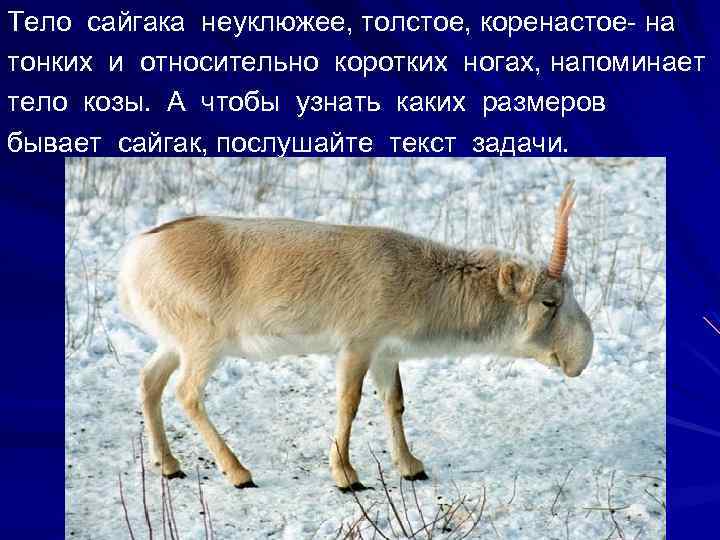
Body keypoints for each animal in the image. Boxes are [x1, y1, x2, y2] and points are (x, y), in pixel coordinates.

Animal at [117, 182, 593, 491]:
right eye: (549, 302)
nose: (581, 356)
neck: (420, 280)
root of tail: (135, 255)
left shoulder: (386, 352)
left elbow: (394, 403)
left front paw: (411, 466)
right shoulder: (357, 345)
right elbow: (349, 404)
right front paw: (346, 476)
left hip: (173, 343)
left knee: (149, 381)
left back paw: (169, 464)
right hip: (204, 343)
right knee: (187, 393)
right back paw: (238, 472)